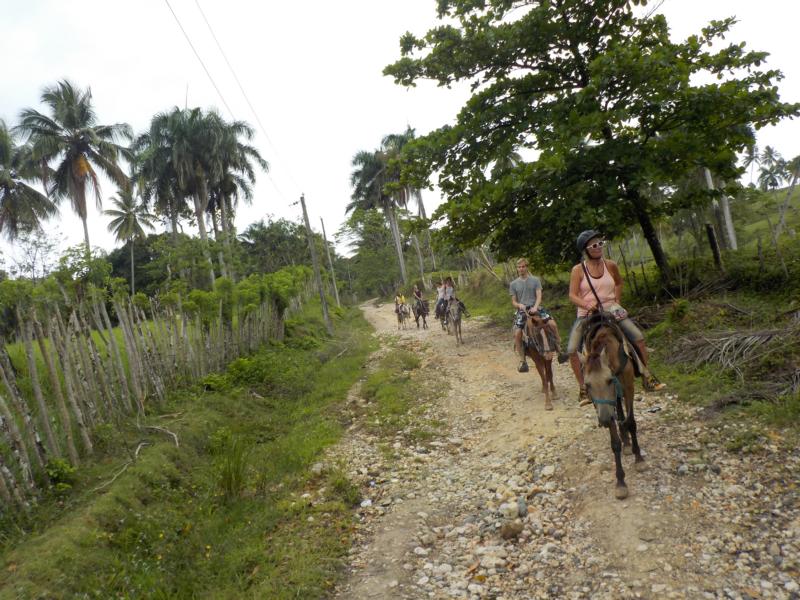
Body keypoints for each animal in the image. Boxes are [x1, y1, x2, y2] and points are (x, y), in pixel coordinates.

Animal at [582, 318, 646, 499]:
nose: (604, 420)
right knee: (618, 413)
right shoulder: (605, 406)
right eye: (587, 385)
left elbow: (631, 422)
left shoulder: (628, 387)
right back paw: (626, 442)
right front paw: (620, 482)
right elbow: (615, 442)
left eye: (609, 380)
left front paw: (639, 459)